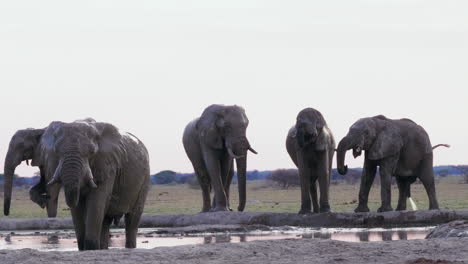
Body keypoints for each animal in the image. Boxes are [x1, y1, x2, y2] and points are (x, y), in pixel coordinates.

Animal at [3, 118, 150, 251]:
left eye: (92, 152)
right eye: (57, 151)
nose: (6, 213)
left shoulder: (108, 164)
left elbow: (96, 199)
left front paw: (90, 248)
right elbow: (79, 204)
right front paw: (84, 248)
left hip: (145, 178)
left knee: (132, 219)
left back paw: (128, 247)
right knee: (105, 220)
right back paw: (102, 248)